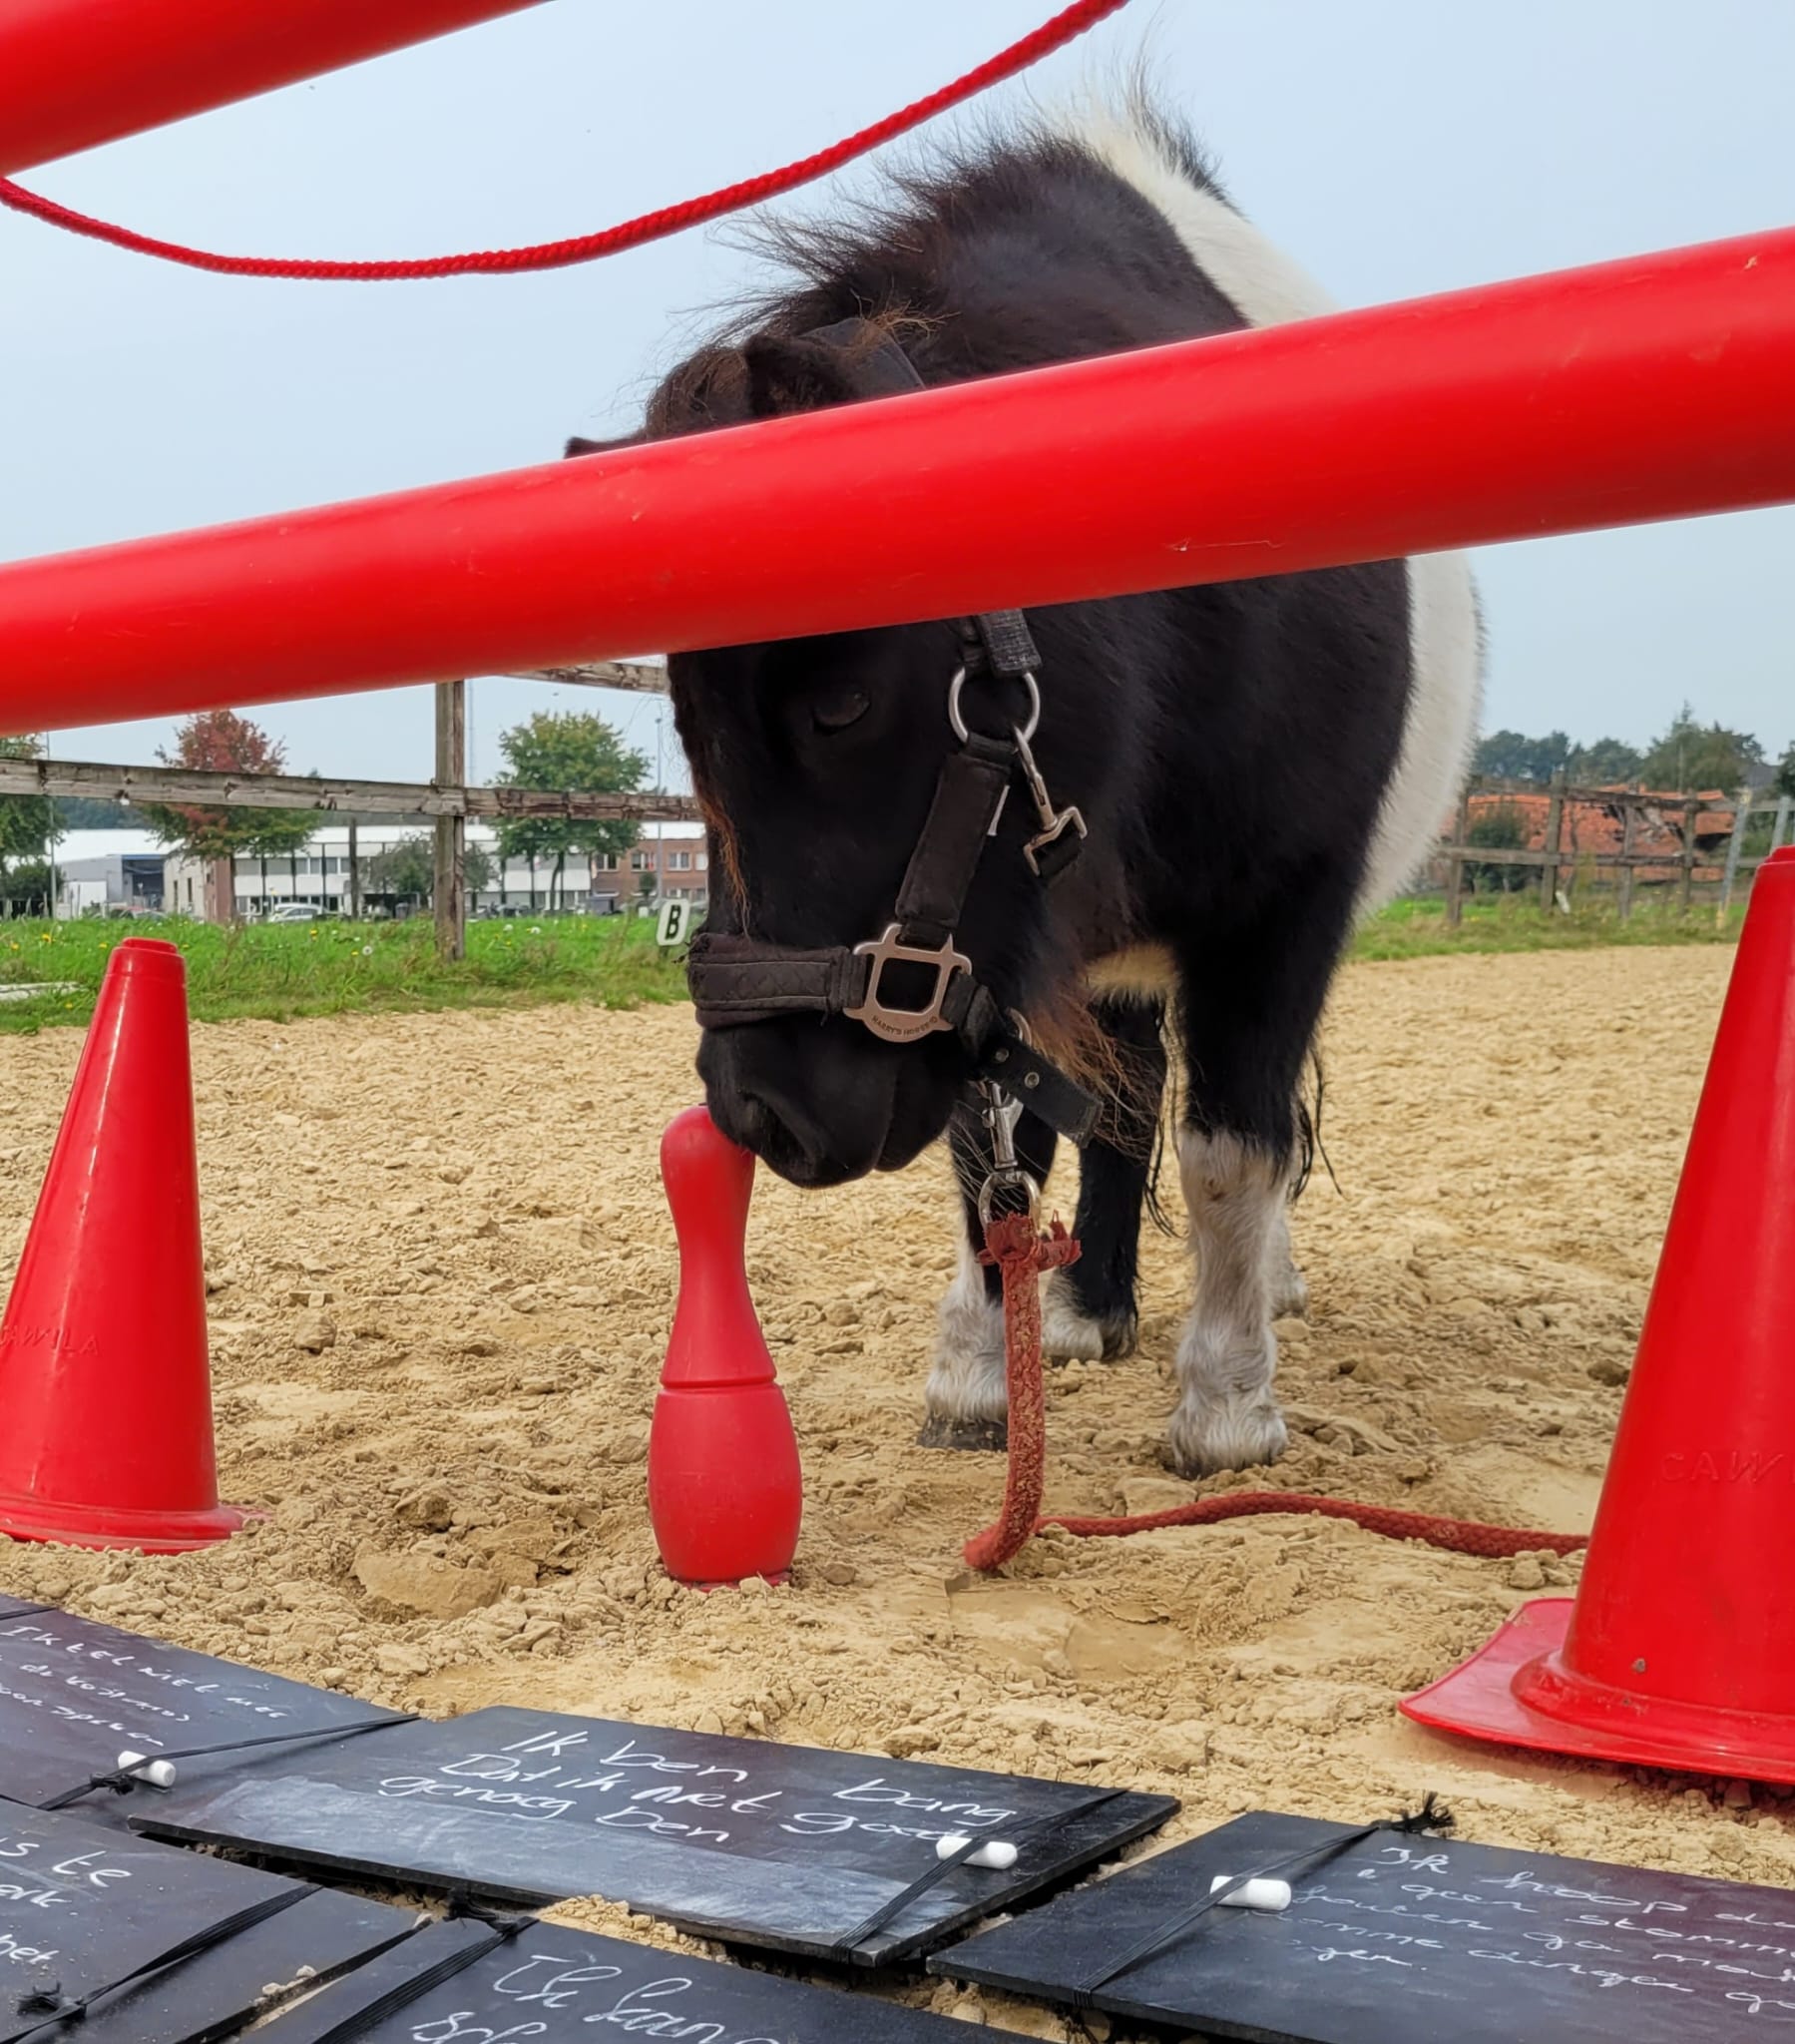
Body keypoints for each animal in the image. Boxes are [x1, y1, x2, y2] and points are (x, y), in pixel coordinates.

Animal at [572, 99, 1472, 1471]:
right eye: (686, 723)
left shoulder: (1284, 910)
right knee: (1121, 1099)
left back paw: (1258, 1287)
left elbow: (1232, 1147)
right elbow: (1002, 1146)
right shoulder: (1005, 956)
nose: (756, 1109)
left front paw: (1225, 1406)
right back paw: (1088, 1303)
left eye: (839, 703)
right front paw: (978, 1372)